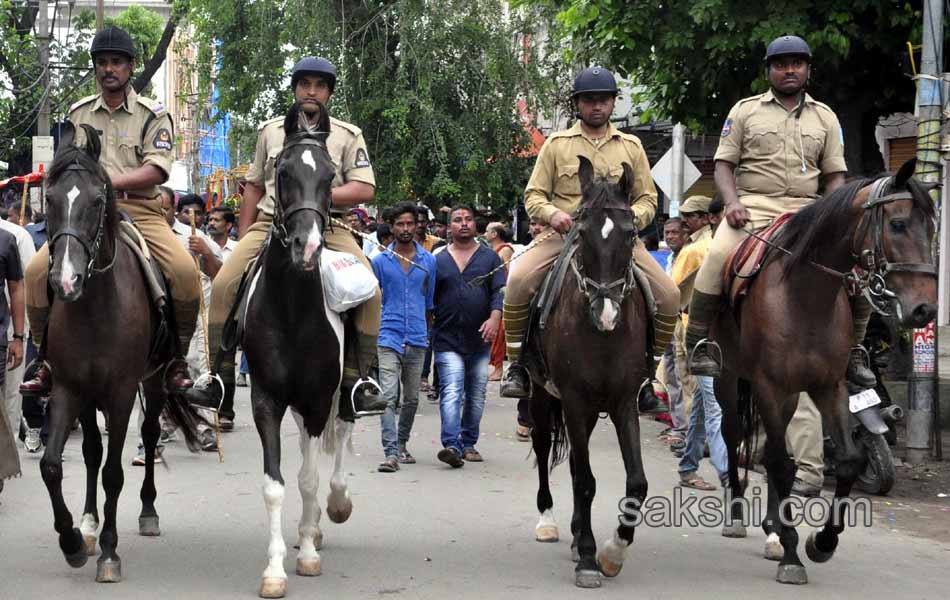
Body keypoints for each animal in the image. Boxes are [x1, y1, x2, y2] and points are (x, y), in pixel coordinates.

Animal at [39, 120, 203, 580]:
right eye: (49, 199)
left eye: (96, 201)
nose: (65, 281)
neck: (95, 306)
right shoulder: (69, 388)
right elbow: (55, 464)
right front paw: (74, 540)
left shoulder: (121, 391)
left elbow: (114, 472)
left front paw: (110, 554)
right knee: (92, 451)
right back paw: (89, 524)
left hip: (155, 379)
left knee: (148, 436)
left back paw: (147, 513)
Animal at [528, 156, 656, 592]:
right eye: (580, 233)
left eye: (631, 234)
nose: (607, 313)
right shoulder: (574, 401)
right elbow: (585, 480)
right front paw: (587, 557)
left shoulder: (623, 402)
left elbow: (636, 481)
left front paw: (614, 552)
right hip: (541, 396)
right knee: (544, 449)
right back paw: (549, 521)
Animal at [712, 157, 936, 584]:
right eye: (898, 224)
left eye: (933, 228)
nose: (924, 310)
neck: (805, 293)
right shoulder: (769, 385)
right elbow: (780, 464)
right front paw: (792, 553)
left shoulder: (828, 386)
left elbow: (846, 460)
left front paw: (821, 542)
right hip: (729, 377)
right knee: (734, 437)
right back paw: (736, 516)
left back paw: (772, 528)